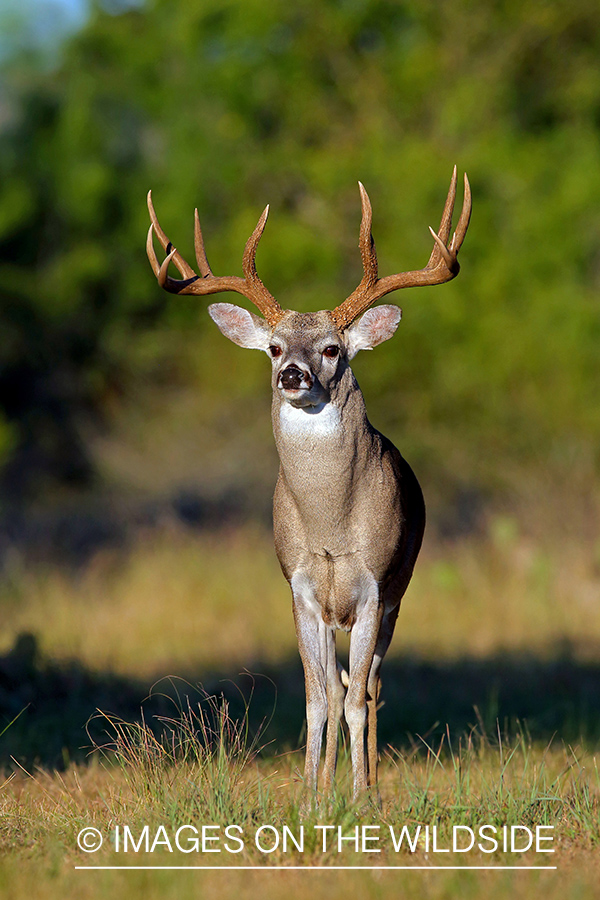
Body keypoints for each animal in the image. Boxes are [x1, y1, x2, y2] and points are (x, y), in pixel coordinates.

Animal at [145, 171, 468, 800]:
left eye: (332, 348)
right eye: (273, 347)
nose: (292, 373)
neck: (330, 527)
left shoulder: (372, 588)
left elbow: (359, 700)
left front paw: (361, 797)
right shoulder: (300, 589)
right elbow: (318, 697)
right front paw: (311, 794)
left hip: (399, 596)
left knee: (371, 687)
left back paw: (371, 786)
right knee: (341, 686)